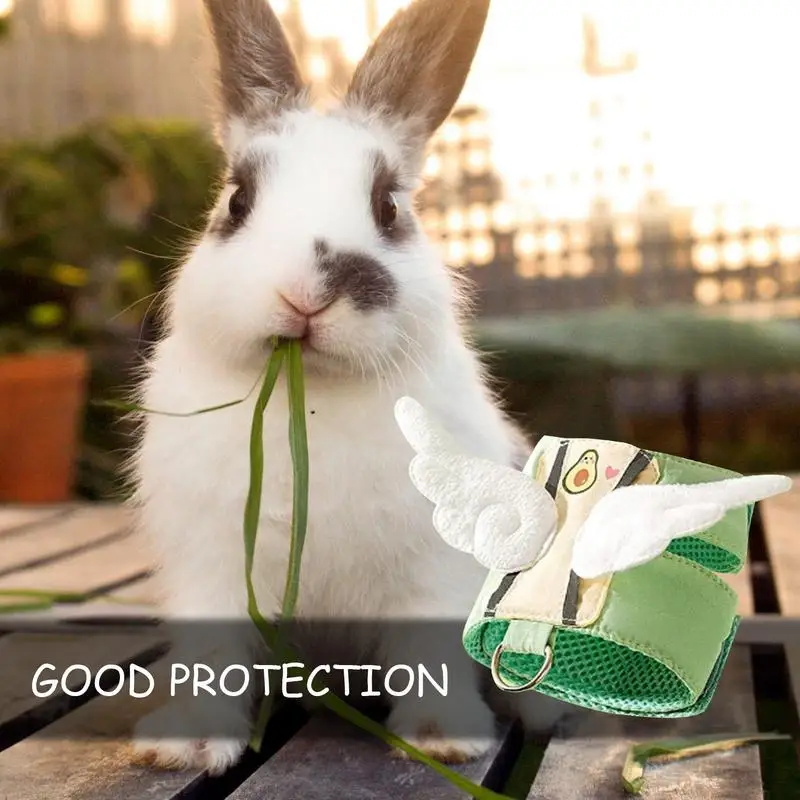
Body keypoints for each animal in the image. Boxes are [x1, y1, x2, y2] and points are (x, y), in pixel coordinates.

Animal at [130, 0, 568, 776]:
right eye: (237, 201)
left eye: (388, 207)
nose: (306, 293)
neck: (310, 396)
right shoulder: (210, 567)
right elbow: (212, 654)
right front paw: (187, 745)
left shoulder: (433, 574)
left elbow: (430, 654)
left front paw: (443, 738)